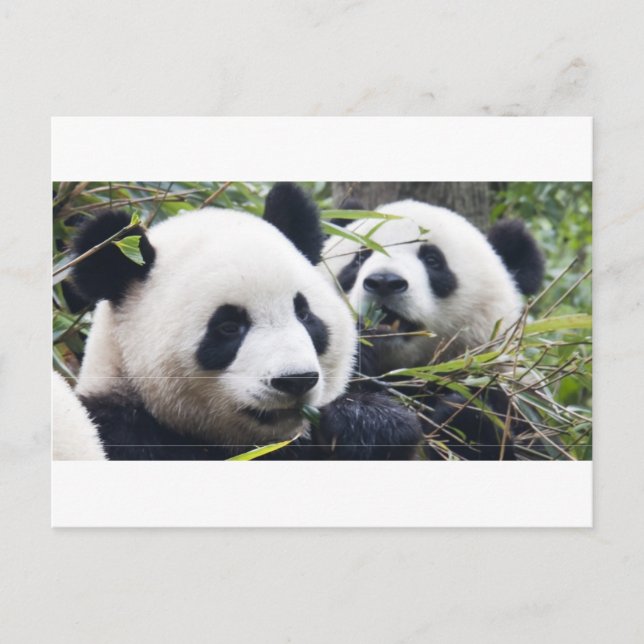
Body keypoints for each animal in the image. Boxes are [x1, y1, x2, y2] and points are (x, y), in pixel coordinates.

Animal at [322, 198, 545, 460]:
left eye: (433, 261)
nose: (384, 282)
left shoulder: (514, 399)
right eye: (359, 258)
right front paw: (371, 421)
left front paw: (463, 421)